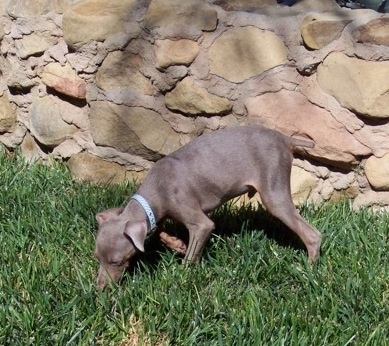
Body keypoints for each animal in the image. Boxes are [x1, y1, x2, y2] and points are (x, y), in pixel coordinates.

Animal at [94, 125, 322, 288]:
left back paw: (308, 270)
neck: (156, 189)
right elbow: (158, 230)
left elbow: (192, 252)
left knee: (312, 234)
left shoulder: (200, 223)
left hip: (274, 191)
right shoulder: (160, 212)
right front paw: (176, 243)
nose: (100, 288)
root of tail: (285, 138)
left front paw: (181, 277)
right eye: (97, 257)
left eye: (117, 261)